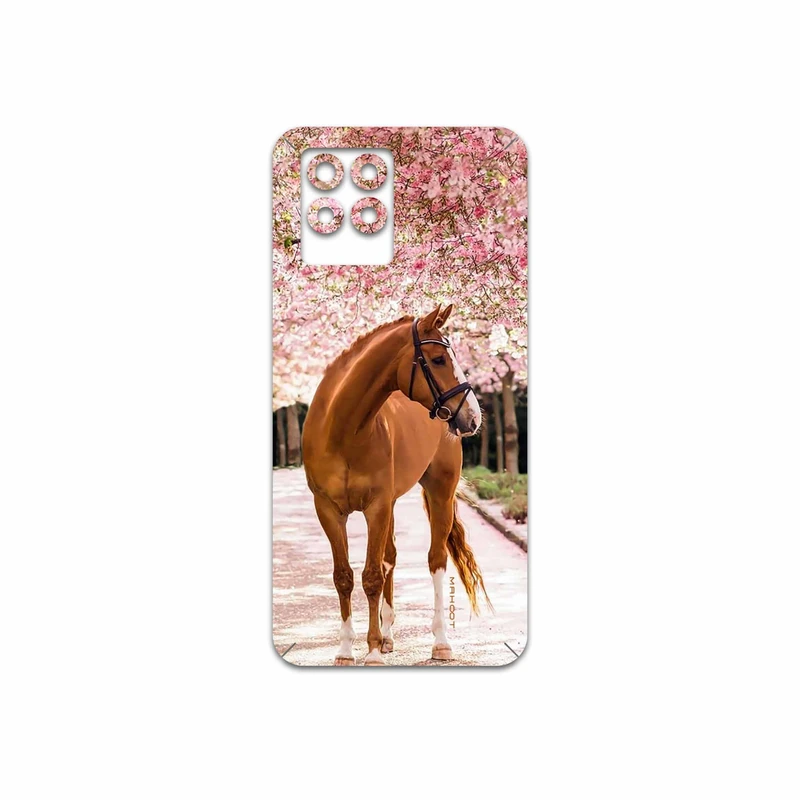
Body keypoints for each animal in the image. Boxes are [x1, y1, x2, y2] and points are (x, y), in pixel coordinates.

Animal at [302, 303, 491, 666]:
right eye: (438, 359)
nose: (473, 417)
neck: (343, 431)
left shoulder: (376, 506)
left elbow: (372, 576)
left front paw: (373, 651)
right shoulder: (328, 510)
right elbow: (344, 577)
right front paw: (346, 650)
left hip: (439, 493)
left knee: (435, 560)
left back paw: (440, 643)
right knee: (390, 557)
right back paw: (388, 636)